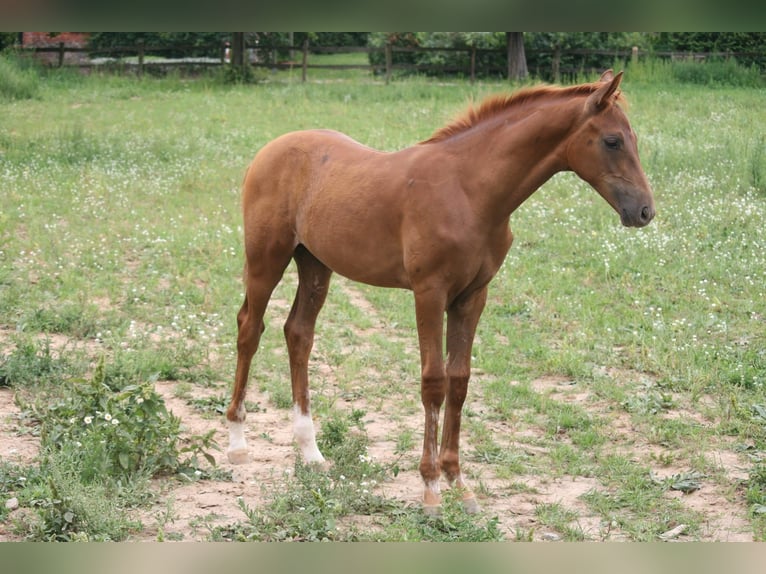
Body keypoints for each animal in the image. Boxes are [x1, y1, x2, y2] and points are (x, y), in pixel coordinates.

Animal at [225, 70, 656, 516]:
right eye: (612, 141)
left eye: (633, 137)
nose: (644, 211)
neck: (469, 191)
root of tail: (270, 149)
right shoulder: (429, 292)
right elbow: (434, 382)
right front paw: (431, 488)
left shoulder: (472, 297)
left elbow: (459, 381)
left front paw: (459, 483)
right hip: (266, 259)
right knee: (250, 329)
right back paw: (237, 444)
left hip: (314, 265)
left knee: (298, 333)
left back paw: (310, 452)